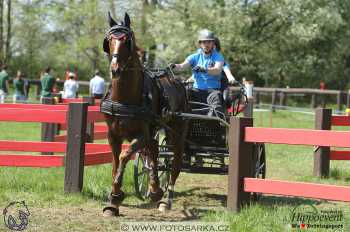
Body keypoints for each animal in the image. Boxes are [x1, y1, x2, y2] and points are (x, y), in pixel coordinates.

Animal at [100, 12, 189, 216]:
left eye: (127, 41)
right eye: (109, 40)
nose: (115, 69)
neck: (125, 98)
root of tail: (178, 82)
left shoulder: (141, 135)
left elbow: (124, 156)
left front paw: (116, 195)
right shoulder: (113, 136)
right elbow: (115, 163)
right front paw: (113, 202)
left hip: (176, 131)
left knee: (175, 164)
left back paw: (165, 199)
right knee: (154, 151)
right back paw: (155, 189)